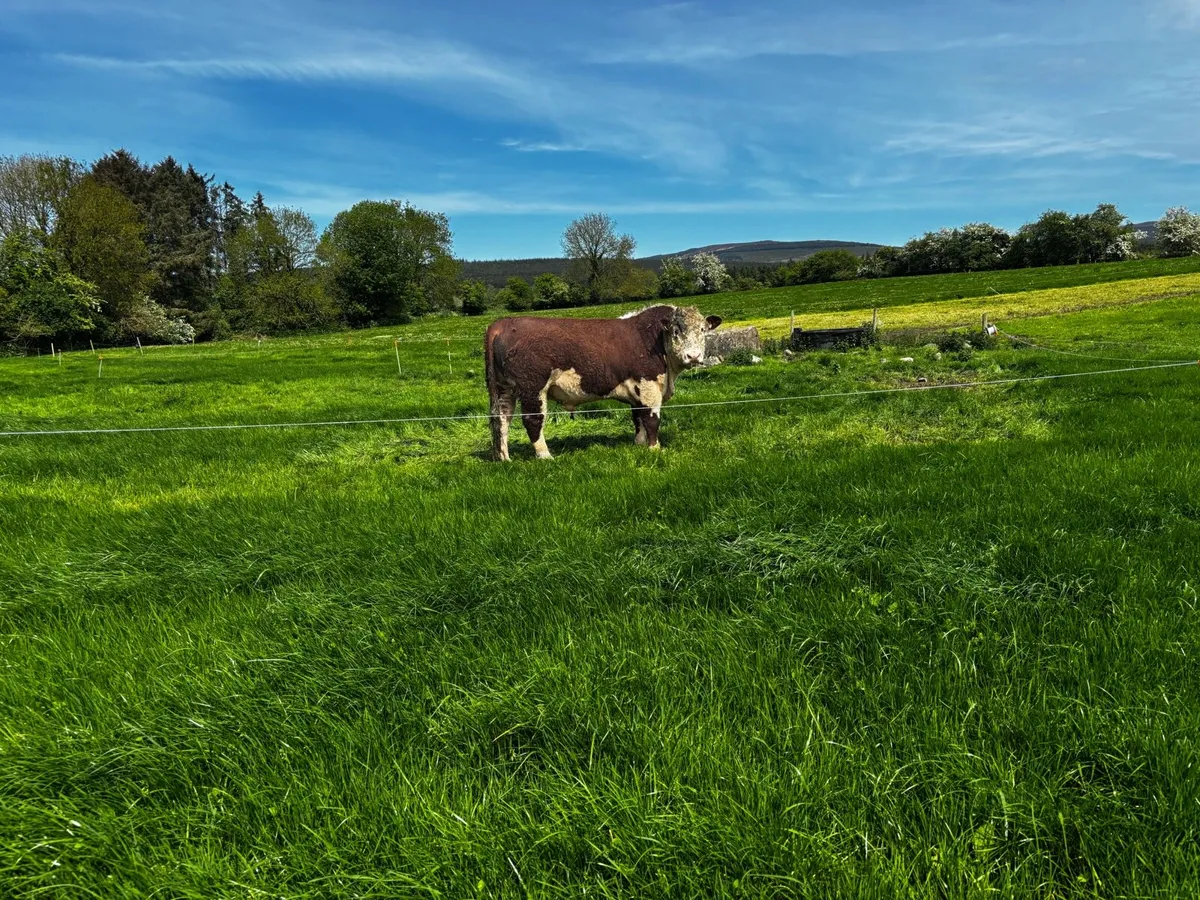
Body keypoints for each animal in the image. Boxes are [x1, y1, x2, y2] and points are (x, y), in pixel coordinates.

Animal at [484, 305, 722, 461]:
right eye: (675, 330)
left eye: (703, 330)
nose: (693, 356)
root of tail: (503, 323)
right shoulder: (649, 386)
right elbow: (652, 420)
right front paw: (655, 449)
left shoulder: (636, 390)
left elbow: (638, 418)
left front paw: (639, 444)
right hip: (533, 388)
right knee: (533, 420)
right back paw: (545, 456)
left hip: (504, 388)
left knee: (502, 419)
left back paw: (505, 458)